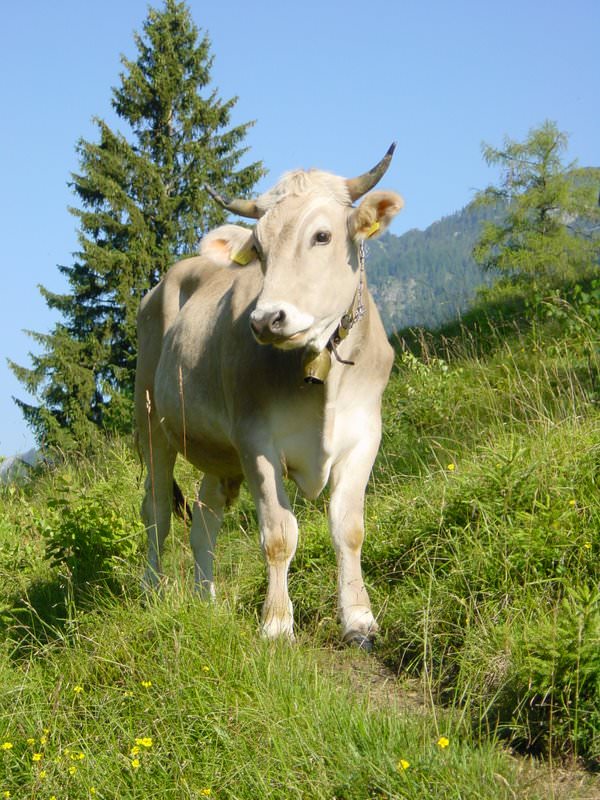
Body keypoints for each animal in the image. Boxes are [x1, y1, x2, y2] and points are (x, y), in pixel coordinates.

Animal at [136, 142, 404, 644]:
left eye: (322, 236)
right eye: (258, 248)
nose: (266, 319)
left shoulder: (364, 436)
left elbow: (349, 529)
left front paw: (359, 618)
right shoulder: (256, 440)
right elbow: (279, 534)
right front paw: (277, 624)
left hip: (219, 454)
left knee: (204, 518)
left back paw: (206, 600)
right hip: (150, 425)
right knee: (157, 511)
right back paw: (151, 591)